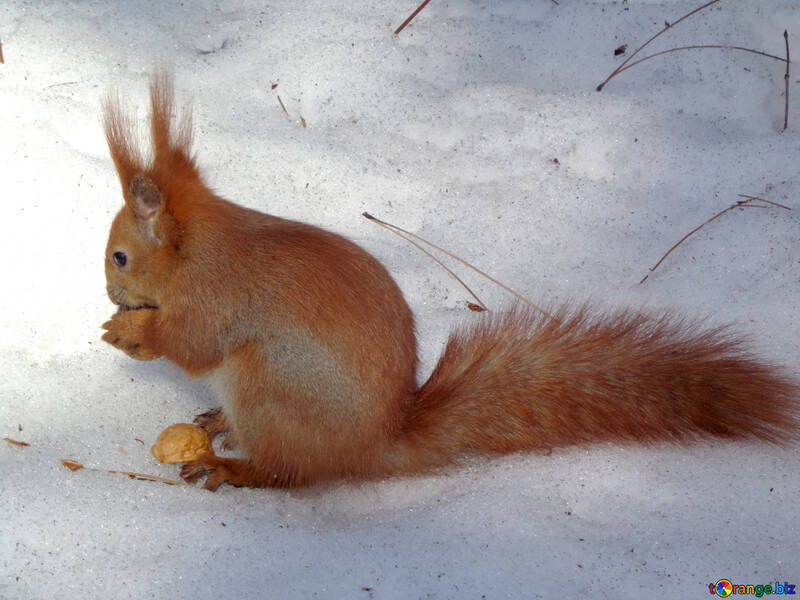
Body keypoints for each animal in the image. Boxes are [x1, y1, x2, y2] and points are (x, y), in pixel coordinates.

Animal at [103, 72, 796, 490]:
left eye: (120, 258)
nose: (110, 294)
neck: (200, 250)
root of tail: (373, 448)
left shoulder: (213, 298)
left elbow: (192, 343)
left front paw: (130, 332)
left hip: (270, 383)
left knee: (288, 473)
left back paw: (231, 468)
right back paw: (218, 424)